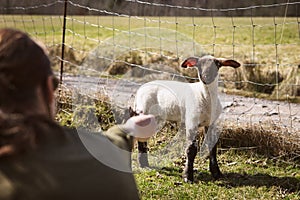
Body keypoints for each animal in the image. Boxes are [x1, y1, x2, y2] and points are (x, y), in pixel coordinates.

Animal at [132, 55, 240, 183]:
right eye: (199, 65)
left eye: (217, 64)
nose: (206, 76)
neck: (205, 97)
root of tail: (141, 88)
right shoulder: (191, 122)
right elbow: (191, 149)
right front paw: (188, 176)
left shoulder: (211, 123)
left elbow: (212, 147)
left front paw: (216, 173)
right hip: (144, 111)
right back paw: (143, 164)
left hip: (156, 117)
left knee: (143, 137)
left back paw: (144, 163)